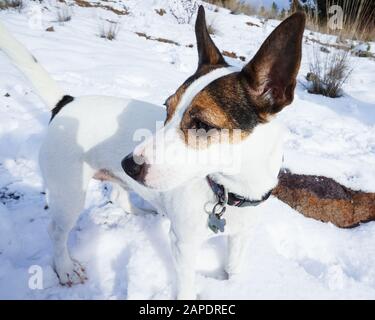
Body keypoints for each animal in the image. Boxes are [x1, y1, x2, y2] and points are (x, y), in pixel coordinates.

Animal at [0, 6, 306, 298]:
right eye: (166, 108)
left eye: (202, 125)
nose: (128, 164)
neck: (230, 191)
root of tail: (66, 103)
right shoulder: (183, 244)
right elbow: (186, 286)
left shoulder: (241, 237)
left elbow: (234, 269)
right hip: (69, 194)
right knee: (56, 230)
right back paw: (64, 267)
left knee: (119, 196)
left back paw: (142, 211)